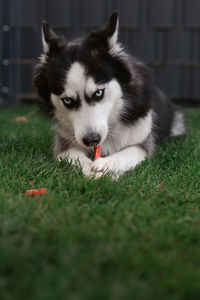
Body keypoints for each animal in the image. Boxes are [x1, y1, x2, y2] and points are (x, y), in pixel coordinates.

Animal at [33, 12, 186, 178]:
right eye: (67, 101)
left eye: (98, 93)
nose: (91, 140)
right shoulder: (65, 145)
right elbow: (76, 157)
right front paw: (92, 171)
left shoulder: (142, 144)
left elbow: (127, 153)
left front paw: (108, 165)